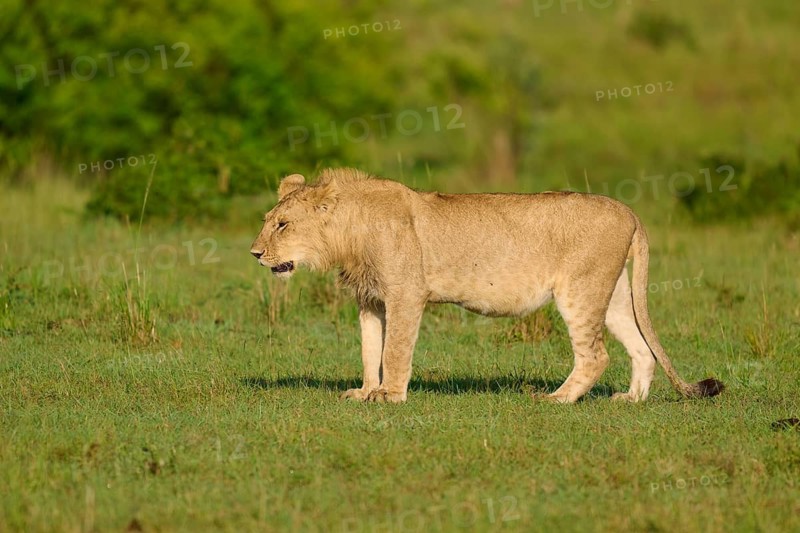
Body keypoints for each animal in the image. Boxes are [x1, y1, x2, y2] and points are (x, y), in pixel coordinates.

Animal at [250, 168, 724, 403]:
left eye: (283, 224)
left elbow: (395, 350)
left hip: (579, 292)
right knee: (642, 348)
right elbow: (370, 350)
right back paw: (631, 400)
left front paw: (391, 396)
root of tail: (630, 211)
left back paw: (556, 400)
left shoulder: (406, 294)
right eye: (267, 221)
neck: (349, 235)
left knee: (596, 355)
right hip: (614, 296)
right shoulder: (371, 300)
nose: (255, 253)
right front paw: (365, 392)